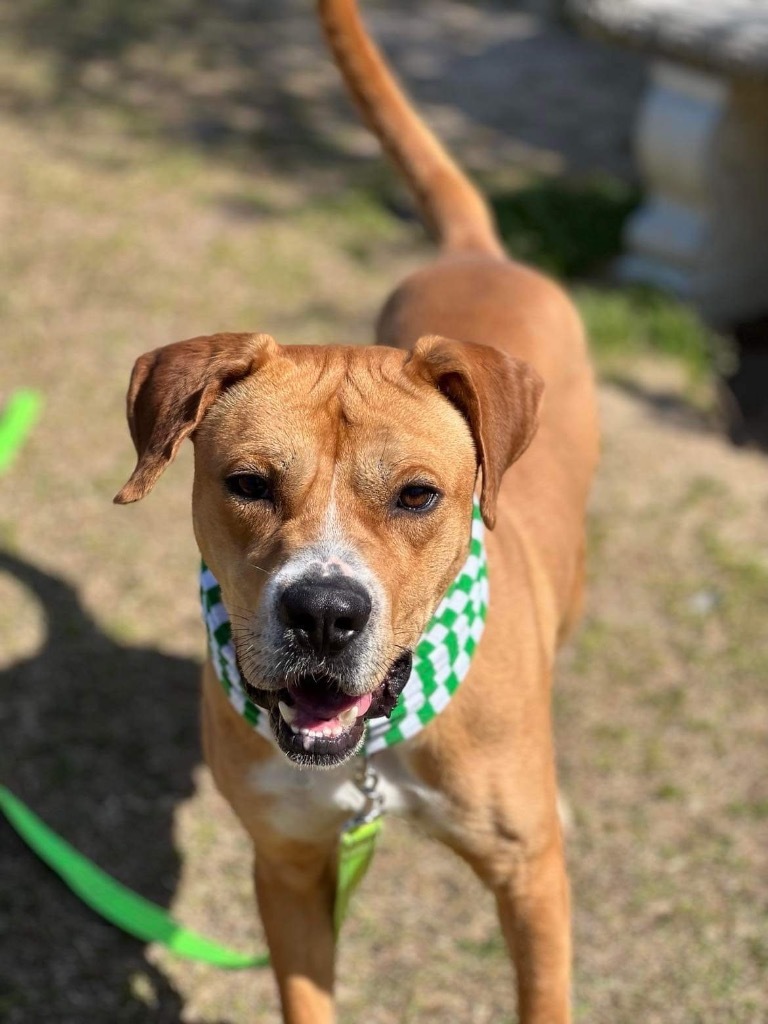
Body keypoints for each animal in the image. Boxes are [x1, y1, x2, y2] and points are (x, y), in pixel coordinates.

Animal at [114, 2, 602, 1024]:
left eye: (417, 495)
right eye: (248, 483)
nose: (325, 614)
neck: (372, 749)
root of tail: (475, 252)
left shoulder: (529, 881)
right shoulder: (290, 865)